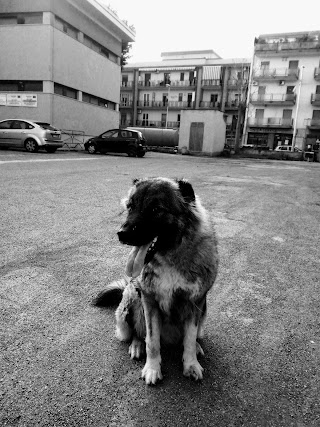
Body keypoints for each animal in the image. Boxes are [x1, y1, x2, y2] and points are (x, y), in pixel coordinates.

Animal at [92, 179, 218, 386]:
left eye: (155, 209)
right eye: (130, 206)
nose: (121, 233)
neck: (170, 256)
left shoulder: (194, 303)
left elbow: (189, 340)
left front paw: (191, 364)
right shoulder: (149, 303)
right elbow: (151, 341)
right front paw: (152, 368)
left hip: (204, 311)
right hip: (132, 298)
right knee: (137, 333)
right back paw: (136, 346)